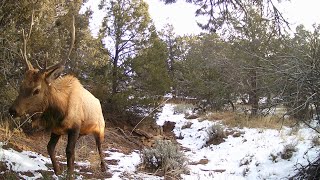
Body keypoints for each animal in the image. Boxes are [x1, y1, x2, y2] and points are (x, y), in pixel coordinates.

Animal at [8, 15, 106, 179]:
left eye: (37, 90)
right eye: (21, 86)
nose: (13, 110)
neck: (59, 111)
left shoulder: (75, 126)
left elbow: (70, 152)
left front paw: (70, 174)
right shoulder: (57, 129)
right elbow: (49, 148)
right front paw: (58, 170)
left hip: (100, 127)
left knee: (100, 145)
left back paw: (104, 167)